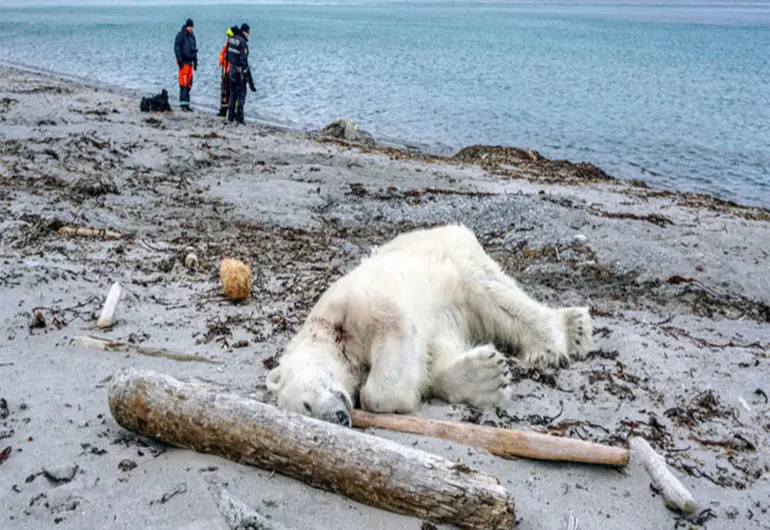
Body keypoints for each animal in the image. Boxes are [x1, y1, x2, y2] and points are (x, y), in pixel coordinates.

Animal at [266, 224, 592, 426]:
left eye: (306, 406)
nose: (339, 418)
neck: (331, 334)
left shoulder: (358, 304)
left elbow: (393, 333)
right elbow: (437, 354)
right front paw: (487, 375)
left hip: (457, 260)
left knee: (495, 296)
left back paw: (558, 340)